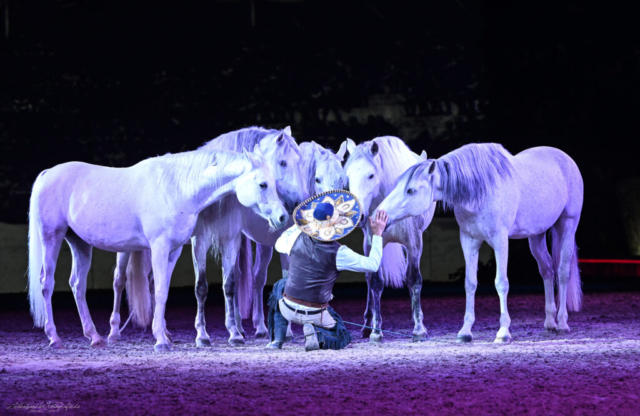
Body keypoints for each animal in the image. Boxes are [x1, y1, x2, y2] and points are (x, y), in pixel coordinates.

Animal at [28, 148, 284, 350]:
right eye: (262, 184)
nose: (282, 217)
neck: (177, 188)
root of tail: (47, 174)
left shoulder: (173, 252)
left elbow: (163, 291)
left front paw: (165, 336)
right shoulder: (160, 247)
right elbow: (160, 290)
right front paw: (161, 340)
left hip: (79, 243)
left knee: (78, 285)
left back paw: (95, 337)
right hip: (52, 236)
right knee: (47, 283)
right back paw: (55, 338)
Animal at [344, 136, 436, 342]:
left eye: (371, 175)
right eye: (349, 176)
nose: (359, 216)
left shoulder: (414, 244)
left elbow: (414, 279)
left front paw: (419, 328)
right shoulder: (373, 241)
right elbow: (376, 283)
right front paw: (376, 331)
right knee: (368, 277)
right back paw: (367, 325)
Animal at [376, 143, 584, 342]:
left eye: (410, 190)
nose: (379, 214)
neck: (480, 191)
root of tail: (564, 158)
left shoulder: (500, 240)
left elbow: (501, 283)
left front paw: (503, 332)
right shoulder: (469, 240)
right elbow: (470, 283)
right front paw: (465, 331)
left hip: (567, 225)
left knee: (562, 272)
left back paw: (562, 323)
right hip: (536, 236)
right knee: (547, 270)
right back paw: (550, 322)